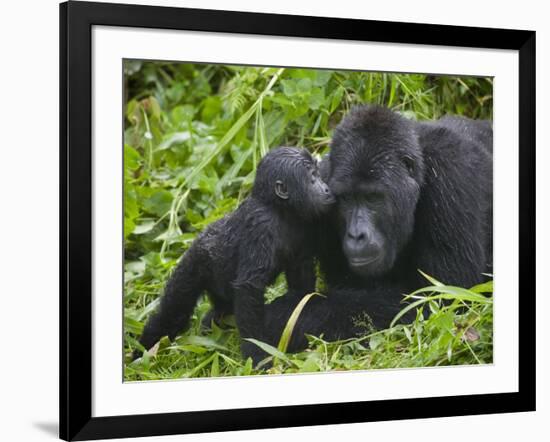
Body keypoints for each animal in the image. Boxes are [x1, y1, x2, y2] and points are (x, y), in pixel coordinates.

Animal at [138, 147, 336, 364]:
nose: (326, 189)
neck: (279, 208)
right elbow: (249, 287)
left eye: (318, 175)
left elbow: (301, 279)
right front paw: (257, 353)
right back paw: (143, 350)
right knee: (173, 312)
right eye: (312, 177)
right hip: (194, 263)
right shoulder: (261, 225)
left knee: (220, 309)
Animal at [266, 105, 494, 350]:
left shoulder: (451, 174)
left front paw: (281, 317)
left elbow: (442, 298)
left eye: (373, 197)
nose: (356, 235)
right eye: (346, 199)